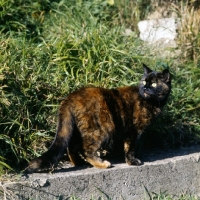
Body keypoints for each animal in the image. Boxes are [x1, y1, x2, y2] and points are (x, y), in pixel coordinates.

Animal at [26, 64, 170, 172]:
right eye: (144, 81)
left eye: (154, 84)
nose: (144, 87)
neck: (151, 102)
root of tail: (70, 98)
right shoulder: (133, 131)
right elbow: (130, 148)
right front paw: (132, 161)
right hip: (100, 129)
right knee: (86, 149)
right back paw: (102, 164)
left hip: (78, 130)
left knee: (71, 148)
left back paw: (80, 163)